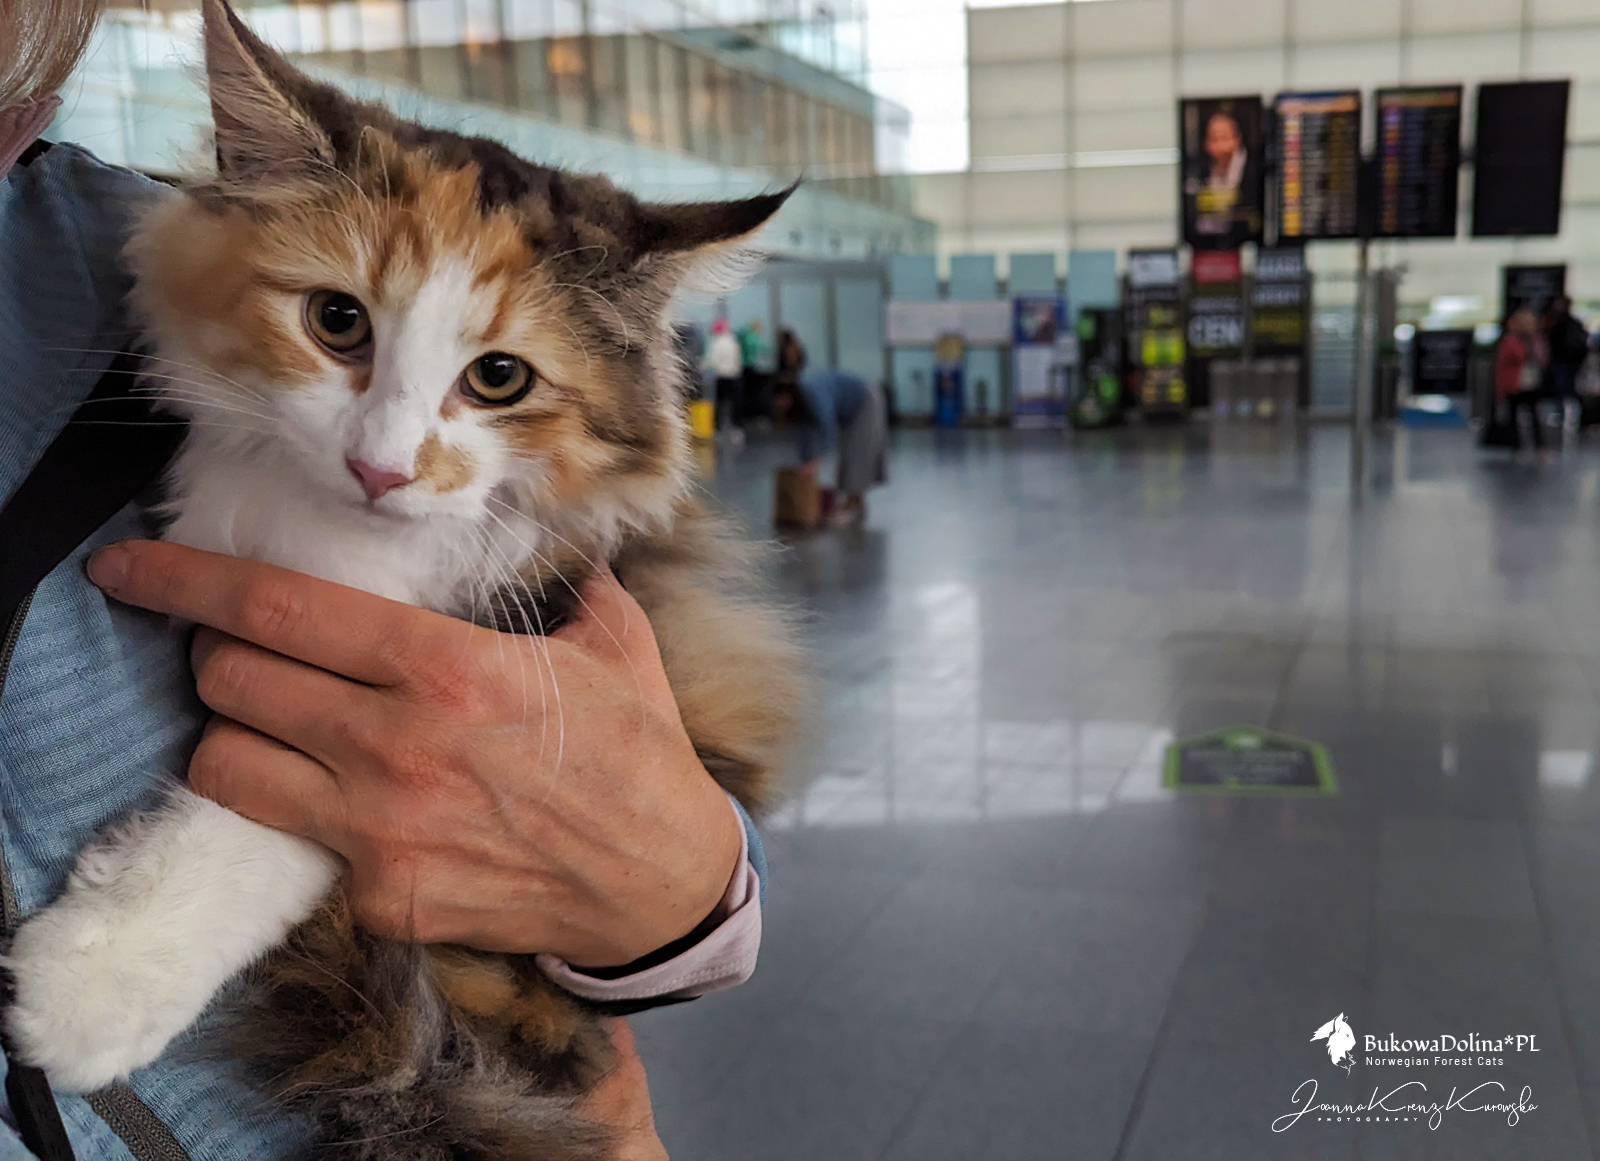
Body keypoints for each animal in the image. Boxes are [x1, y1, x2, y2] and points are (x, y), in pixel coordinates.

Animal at [3, 1, 805, 1156]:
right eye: (337, 322)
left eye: (500, 377)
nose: (381, 468)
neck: (336, 545)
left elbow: (263, 824)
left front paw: (93, 980)